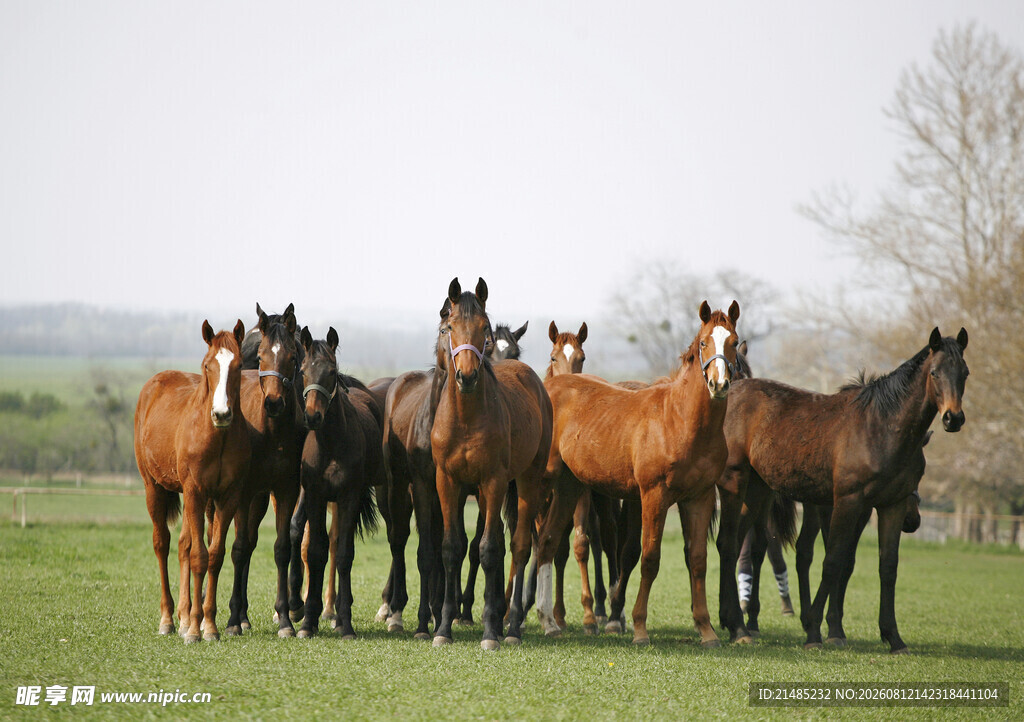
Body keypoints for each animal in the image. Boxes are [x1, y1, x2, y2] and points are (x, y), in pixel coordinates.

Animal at [135, 320, 250, 643]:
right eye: (208, 365)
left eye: (238, 365)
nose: (221, 413)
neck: (215, 436)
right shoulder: (196, 492)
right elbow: (199, 555)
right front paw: (197, 630)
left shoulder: (227, 497)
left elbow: (214, 556)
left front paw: (207, 624)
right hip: (154, 488)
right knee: (162, 543)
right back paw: (168, 619)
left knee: (183, 544)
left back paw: (185, 617)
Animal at [291, 326, 383, 639]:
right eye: (303, 370)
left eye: (331, 371)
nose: (312, 416)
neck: (330, 444)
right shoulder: (316, 496)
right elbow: (316, 551)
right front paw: (308, 620)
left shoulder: (349, 497)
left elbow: (343, 554)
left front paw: (346, 623)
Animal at [430, 277, 553, 650]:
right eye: (448, 327)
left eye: (484, 328)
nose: (467, 376)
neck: (467, 419)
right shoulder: (448, 481)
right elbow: (452, 547)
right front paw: (444, 627)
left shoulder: (494, 480)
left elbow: (488, 548)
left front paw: (489, 632)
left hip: (526, 480)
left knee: (519, 546)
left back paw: (510, 626)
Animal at [535, 300, 741, 646]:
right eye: (703, 343)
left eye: (734, 343)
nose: (719, 384)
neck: (679, 420)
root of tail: (547, 387)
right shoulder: (654, 496)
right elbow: (649, 558)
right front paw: (640, 627)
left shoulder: (698, 498)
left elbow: (698, 560)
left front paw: (706, 630)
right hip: (540, 484)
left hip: (568, 486)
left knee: (548, 541)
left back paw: (549, 621)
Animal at [716, 327, 969, 653]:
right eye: (935, 372)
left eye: (965, 372)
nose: (954, 418)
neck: (881, 426)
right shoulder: (848, 502)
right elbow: (833, 561)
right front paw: (815, 630)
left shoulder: (892, 505)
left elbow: (887, 566)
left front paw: (893, 637)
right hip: (734, 483)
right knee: (728, 543)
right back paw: (738, 625)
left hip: (758, 491)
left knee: (736, 545)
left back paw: (732, 623)